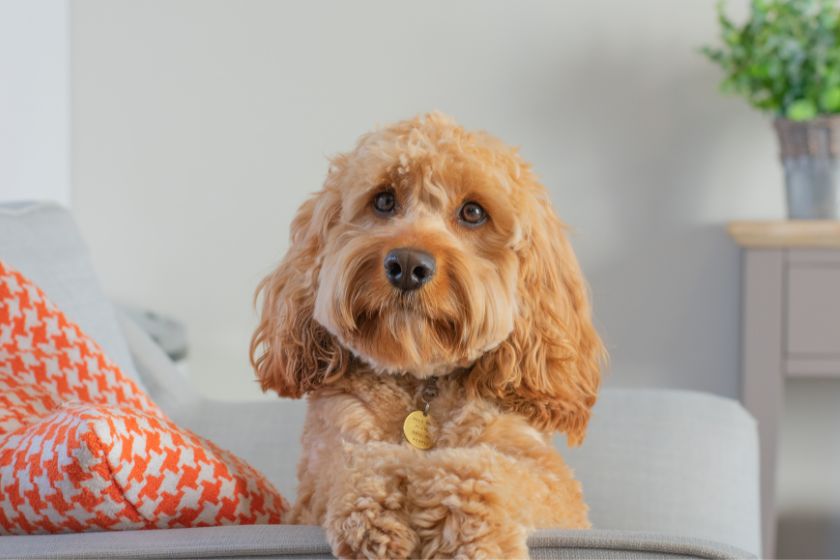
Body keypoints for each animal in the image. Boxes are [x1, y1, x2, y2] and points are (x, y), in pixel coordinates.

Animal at [249, 111, 604, 556]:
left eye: (473, 212)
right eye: (384, 201)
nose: (406, 264)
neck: (422, 384)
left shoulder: (553, 483)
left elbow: (489, 470)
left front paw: (470, 534)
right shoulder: (321, 470)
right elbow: (355, 461)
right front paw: (379, 516)